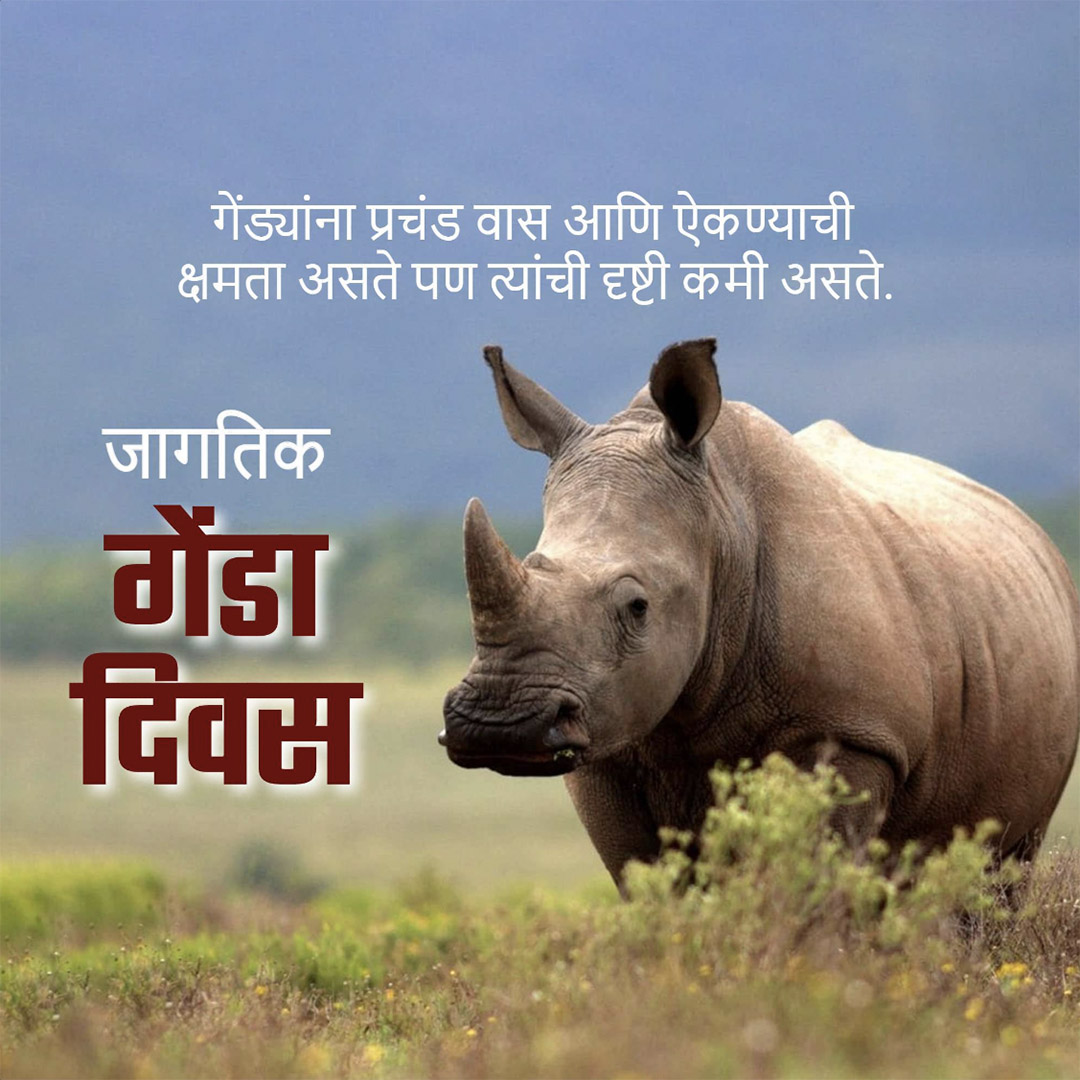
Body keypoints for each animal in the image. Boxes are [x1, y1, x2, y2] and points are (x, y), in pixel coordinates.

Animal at [440, 339, 1080, 888]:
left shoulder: (852, 732)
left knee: (999, 870)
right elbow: (653, 883)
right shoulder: (606, 746)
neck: (723, 525)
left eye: (637, 607)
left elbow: (816, 883)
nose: (499, 725)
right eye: (531, 563)